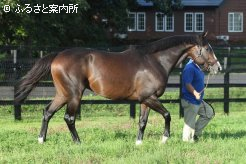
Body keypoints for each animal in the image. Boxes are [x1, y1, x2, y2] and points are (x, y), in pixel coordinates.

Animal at [14, 32, 222, 145]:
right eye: (208, 48)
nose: (218, 67)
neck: (154, 61)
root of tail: (58, 56)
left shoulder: (145, 100)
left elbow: (142, 121)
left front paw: (139, 142)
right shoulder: (150, 98)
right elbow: (167, 115)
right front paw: (164, 139)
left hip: (63, 94)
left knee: (47, 112)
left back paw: (41, 140)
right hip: (73, 95)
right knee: (69, 118)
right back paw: (78, 142)